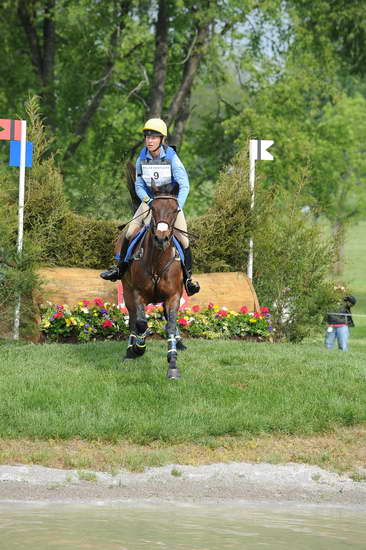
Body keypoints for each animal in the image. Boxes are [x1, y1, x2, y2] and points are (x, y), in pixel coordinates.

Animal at [121, 185, 186, 380]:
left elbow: (170, 325)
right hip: (126, 291)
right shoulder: (137, 294)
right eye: (153, 209)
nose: (161, 239)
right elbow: (141, 322)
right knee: (133, 320)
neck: (157, 259)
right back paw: (130, 351)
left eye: (175, 210)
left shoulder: (174, 296)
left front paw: (172, 363)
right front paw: (139, 347)